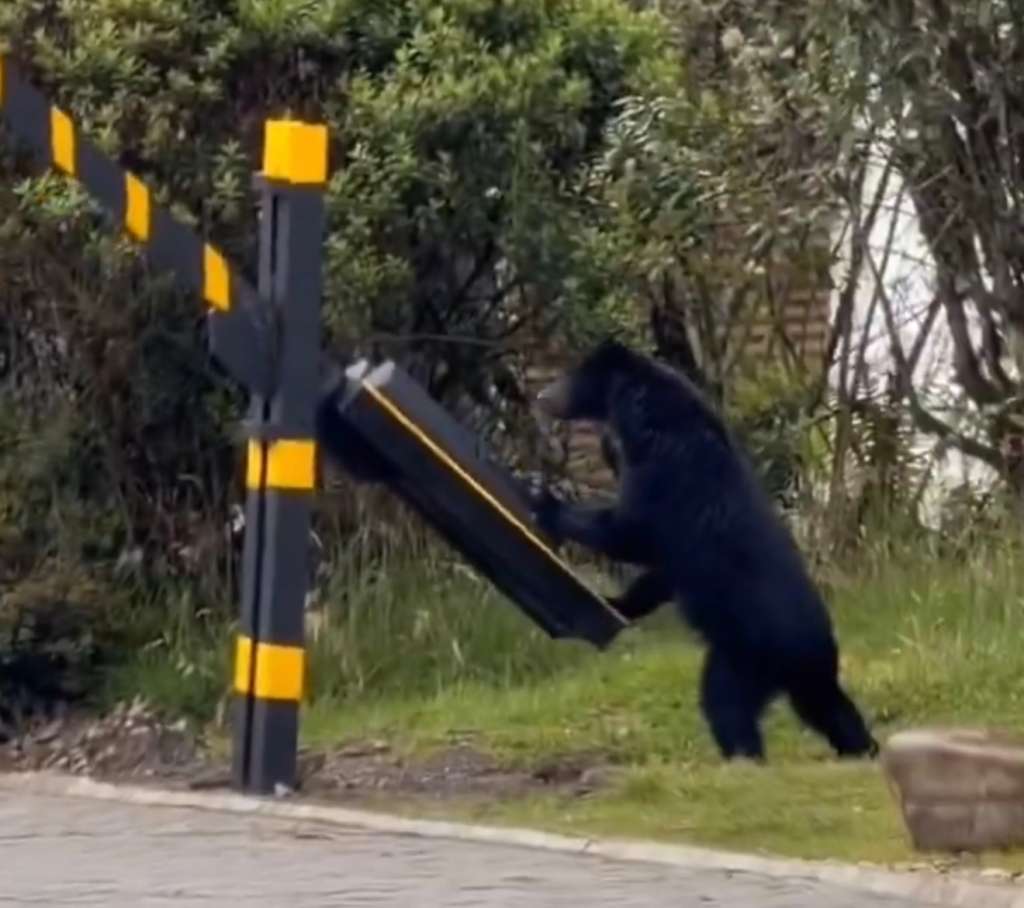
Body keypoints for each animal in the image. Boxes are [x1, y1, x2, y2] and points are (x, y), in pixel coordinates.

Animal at [530, 338, 878, 762]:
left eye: (571, 376)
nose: (542, 396)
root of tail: (814, 645)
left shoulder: (667, 476)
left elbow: (631, 532)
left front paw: (548, 502)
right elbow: (658, 573)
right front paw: (618, 601)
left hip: (745, 655)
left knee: (725, 703)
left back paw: (744, 757)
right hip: (802, 674)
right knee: (830, 708)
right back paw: (862, 748)